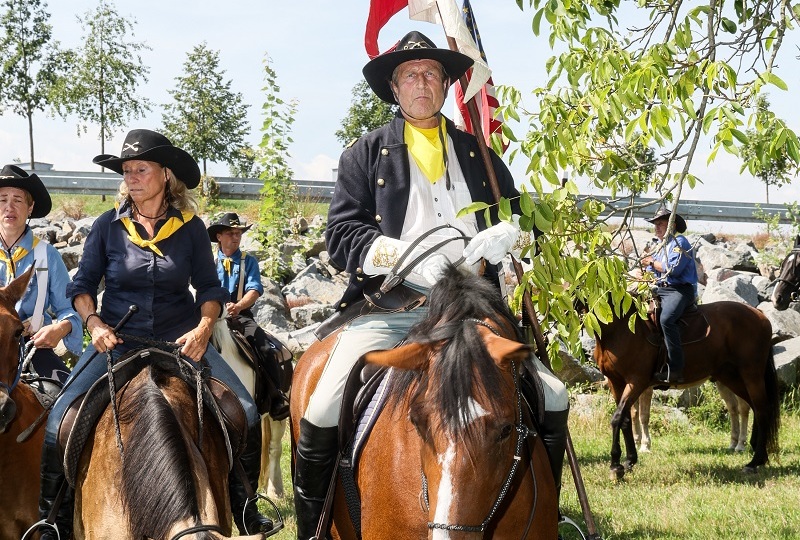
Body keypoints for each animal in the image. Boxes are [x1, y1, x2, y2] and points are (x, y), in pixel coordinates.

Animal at [596, 298, 780, 478]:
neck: (619, 328)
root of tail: (759, 314)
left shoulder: (637, 382)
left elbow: (621, 417)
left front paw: (616, 465)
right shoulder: (616, 382)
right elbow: (625, 419)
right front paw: (628, 461)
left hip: (751, 376)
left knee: (762, 411)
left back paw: (754, 461)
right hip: (731, 378)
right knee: (754, 409)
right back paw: (758, 454)